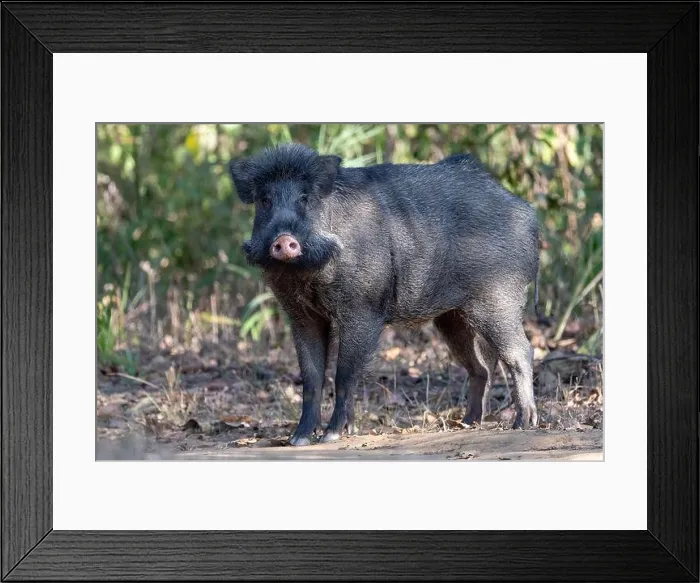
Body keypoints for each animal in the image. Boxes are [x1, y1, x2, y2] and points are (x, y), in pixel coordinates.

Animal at [229, 143, 540, 446]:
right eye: (265, 200)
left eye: (305, 198)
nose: (284, 240)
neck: (308, 277)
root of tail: (528, 213)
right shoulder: (302, 316)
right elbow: (311, 378)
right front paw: (299, 439)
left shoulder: (363, 310)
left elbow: (344, 375)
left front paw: (331, 435)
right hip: (452, 317)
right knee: (481, 367)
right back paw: (467, 423)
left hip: (498, 298)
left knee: (520, 352)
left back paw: (522, 424)